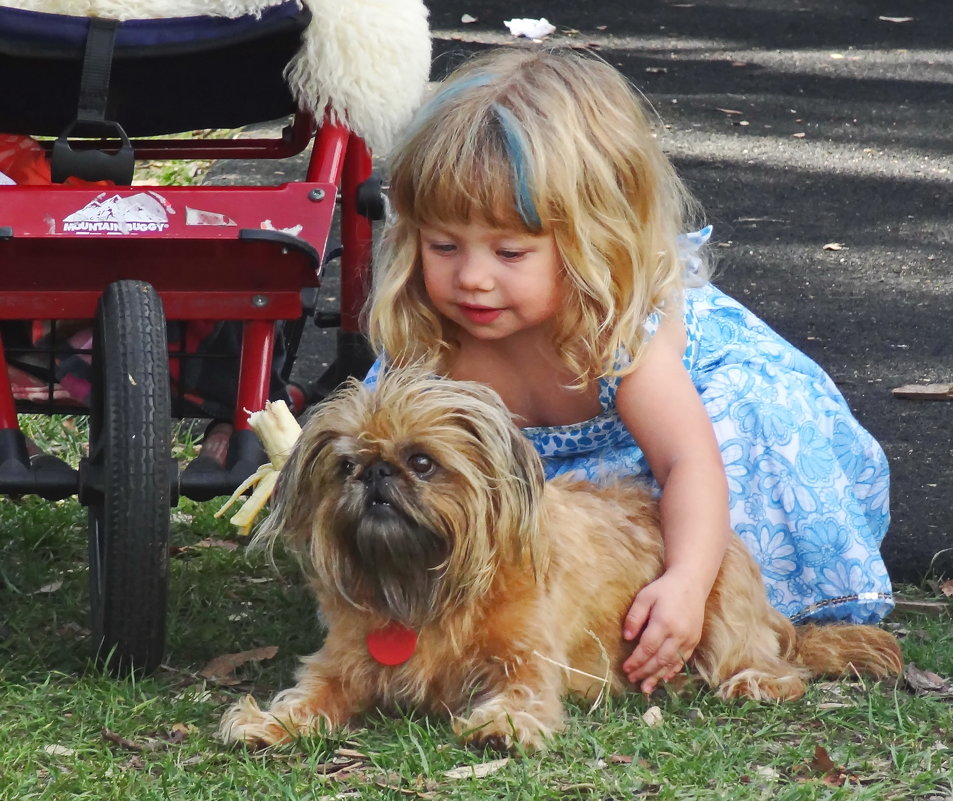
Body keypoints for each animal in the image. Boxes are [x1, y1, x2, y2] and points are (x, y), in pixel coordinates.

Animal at [219, 368, 904, 752]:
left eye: (422, 462)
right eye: (345, 467)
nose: (376, 475)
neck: (421, 583)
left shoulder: (526, 661)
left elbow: (521, 696)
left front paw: (502, 725)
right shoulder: (338, 666)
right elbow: (309, 697)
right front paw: (270, 723)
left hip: (717, 616)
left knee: (780, 668)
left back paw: (751, 681)